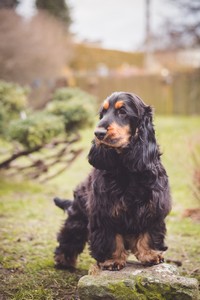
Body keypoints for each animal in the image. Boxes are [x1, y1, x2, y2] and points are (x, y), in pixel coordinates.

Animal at [54, 92, 171, 272]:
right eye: (102, 113)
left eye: (122, 111)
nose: (98, 133)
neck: (126, 168)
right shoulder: (104, 211)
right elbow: (110, 237)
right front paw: (112, 260)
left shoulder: (153, 206)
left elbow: (149, 232)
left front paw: (150, 254)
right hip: (78, 218)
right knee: (69, 236)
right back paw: (63, 260)